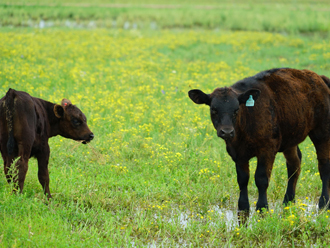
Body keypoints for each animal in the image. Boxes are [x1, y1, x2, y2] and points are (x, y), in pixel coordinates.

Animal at [189, 69, 330, 216]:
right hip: (290, 140)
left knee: (324, 166)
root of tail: (318, 77)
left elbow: (261, 178)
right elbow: (242, 179)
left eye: (236, 109)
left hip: (322, 132)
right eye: (214, 110)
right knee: (294, 165)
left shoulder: (267, 150)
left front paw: (262, 208)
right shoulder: (238, 153)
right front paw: (243, 207)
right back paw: (288, 201)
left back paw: (323, 203)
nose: (227, 132)